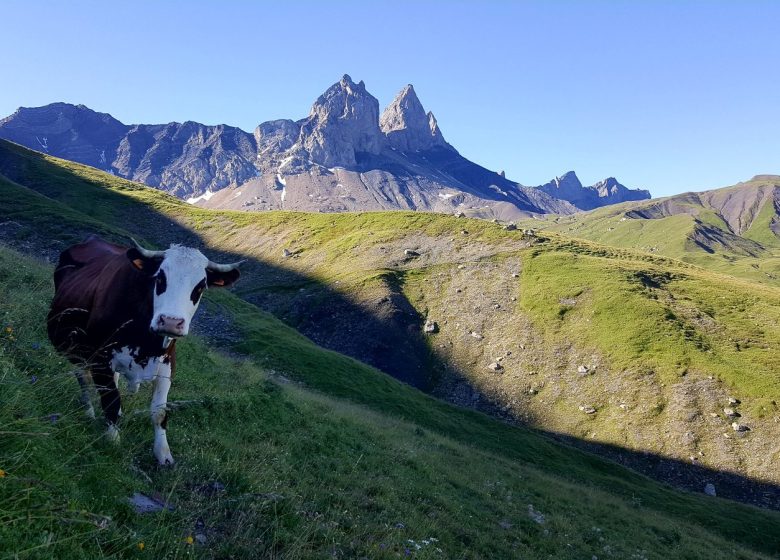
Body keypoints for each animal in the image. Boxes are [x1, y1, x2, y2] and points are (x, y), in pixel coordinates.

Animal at [48, 235, 241, 464]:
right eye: (160, 279)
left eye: (200, 287)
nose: (171, 322)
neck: (145, 342)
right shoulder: (101, 358)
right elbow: (111, 401)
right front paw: (113, 440)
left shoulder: (167, 364)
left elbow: (159, 412)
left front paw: (163, 454)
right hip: (74, 347)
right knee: (83, 379)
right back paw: (89, 411)